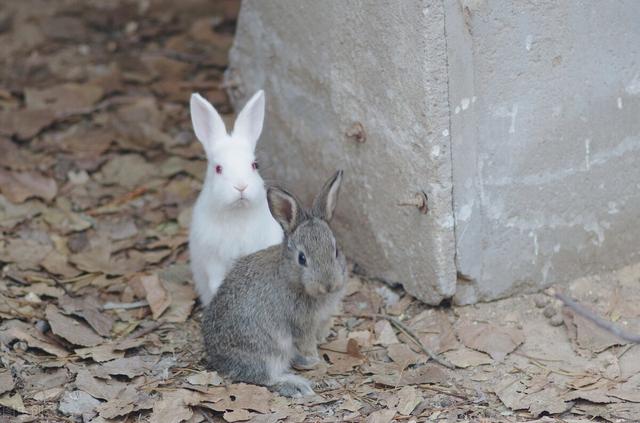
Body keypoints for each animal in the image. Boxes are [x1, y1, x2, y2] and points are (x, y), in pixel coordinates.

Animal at [188, 92, 282, 304]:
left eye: (254, 165)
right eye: (218, 168)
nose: (241, 186)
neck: (237, 213)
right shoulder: (212, 257)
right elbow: (215, 281)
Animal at [202, 170, 348, 398]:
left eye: (336, 251)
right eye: (302, 259)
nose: (328, 285)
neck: (291, 276)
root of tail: (217, 359)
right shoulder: (301, 324)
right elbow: (307, 344)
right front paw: (314, 359)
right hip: (268, 351)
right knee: (265, 377)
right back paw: (297, 385)